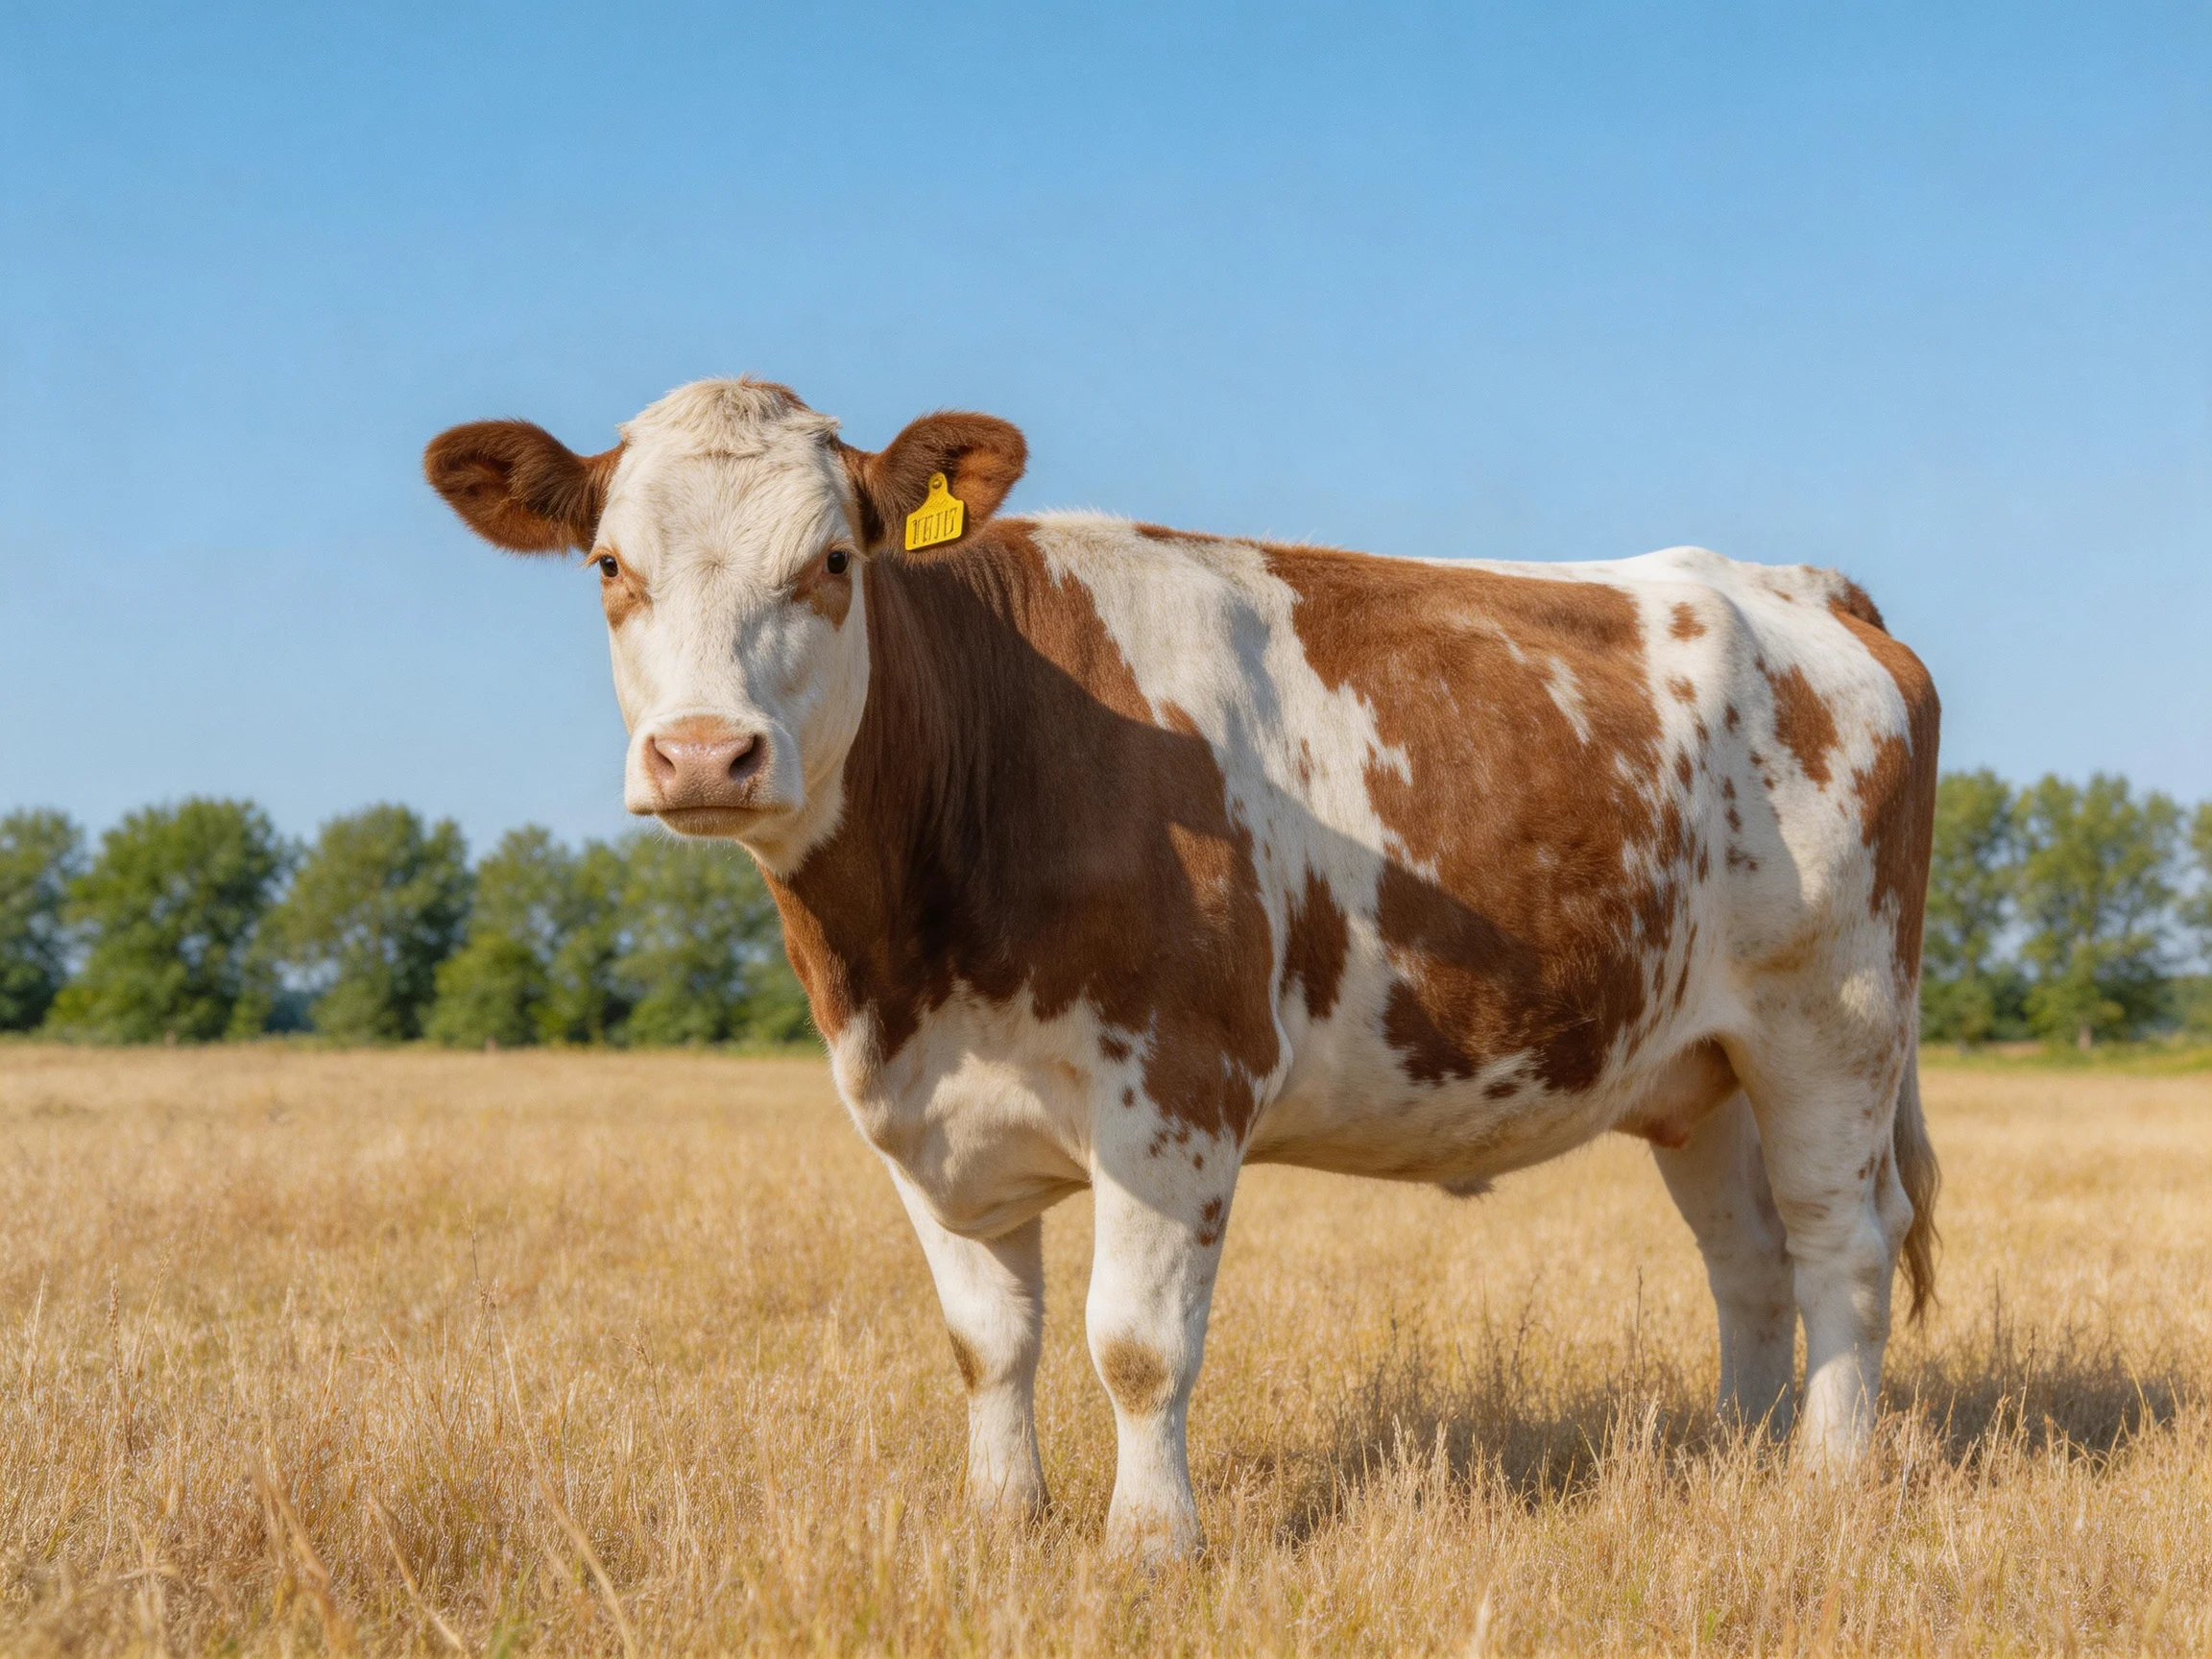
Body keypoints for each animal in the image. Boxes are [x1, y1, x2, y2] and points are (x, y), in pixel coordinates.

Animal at [425, 378, 1940, 1560]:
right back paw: (1740, 1461)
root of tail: (1790, 585)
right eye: (608, 567)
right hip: (1699, 1066)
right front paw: (1003, 1526)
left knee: (1841, 1247)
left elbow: (1134, 1342)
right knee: (1748, 1261)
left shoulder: (1176, 1090)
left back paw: (1828, 1480)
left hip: (1833, 1024)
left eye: (835, 561)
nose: (703, 755)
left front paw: (1152, 1545)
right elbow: (990, 1339)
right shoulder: (922, 1116)